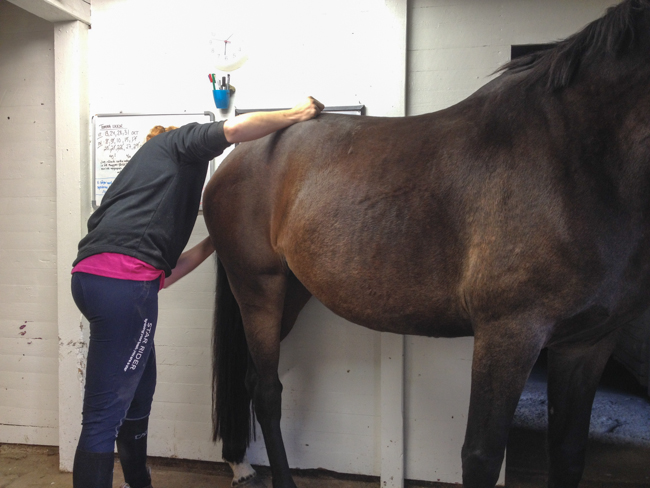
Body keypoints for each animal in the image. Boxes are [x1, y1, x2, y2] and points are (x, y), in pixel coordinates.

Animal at [202, 1, 650, 486]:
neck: (572, 158)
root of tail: (234, 157)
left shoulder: (586, 344)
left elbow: (567, 453)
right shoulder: (509, 334)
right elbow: (481, 456)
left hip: (291, 292)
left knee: (254, 383)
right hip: (258, 290)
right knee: (267, 392)